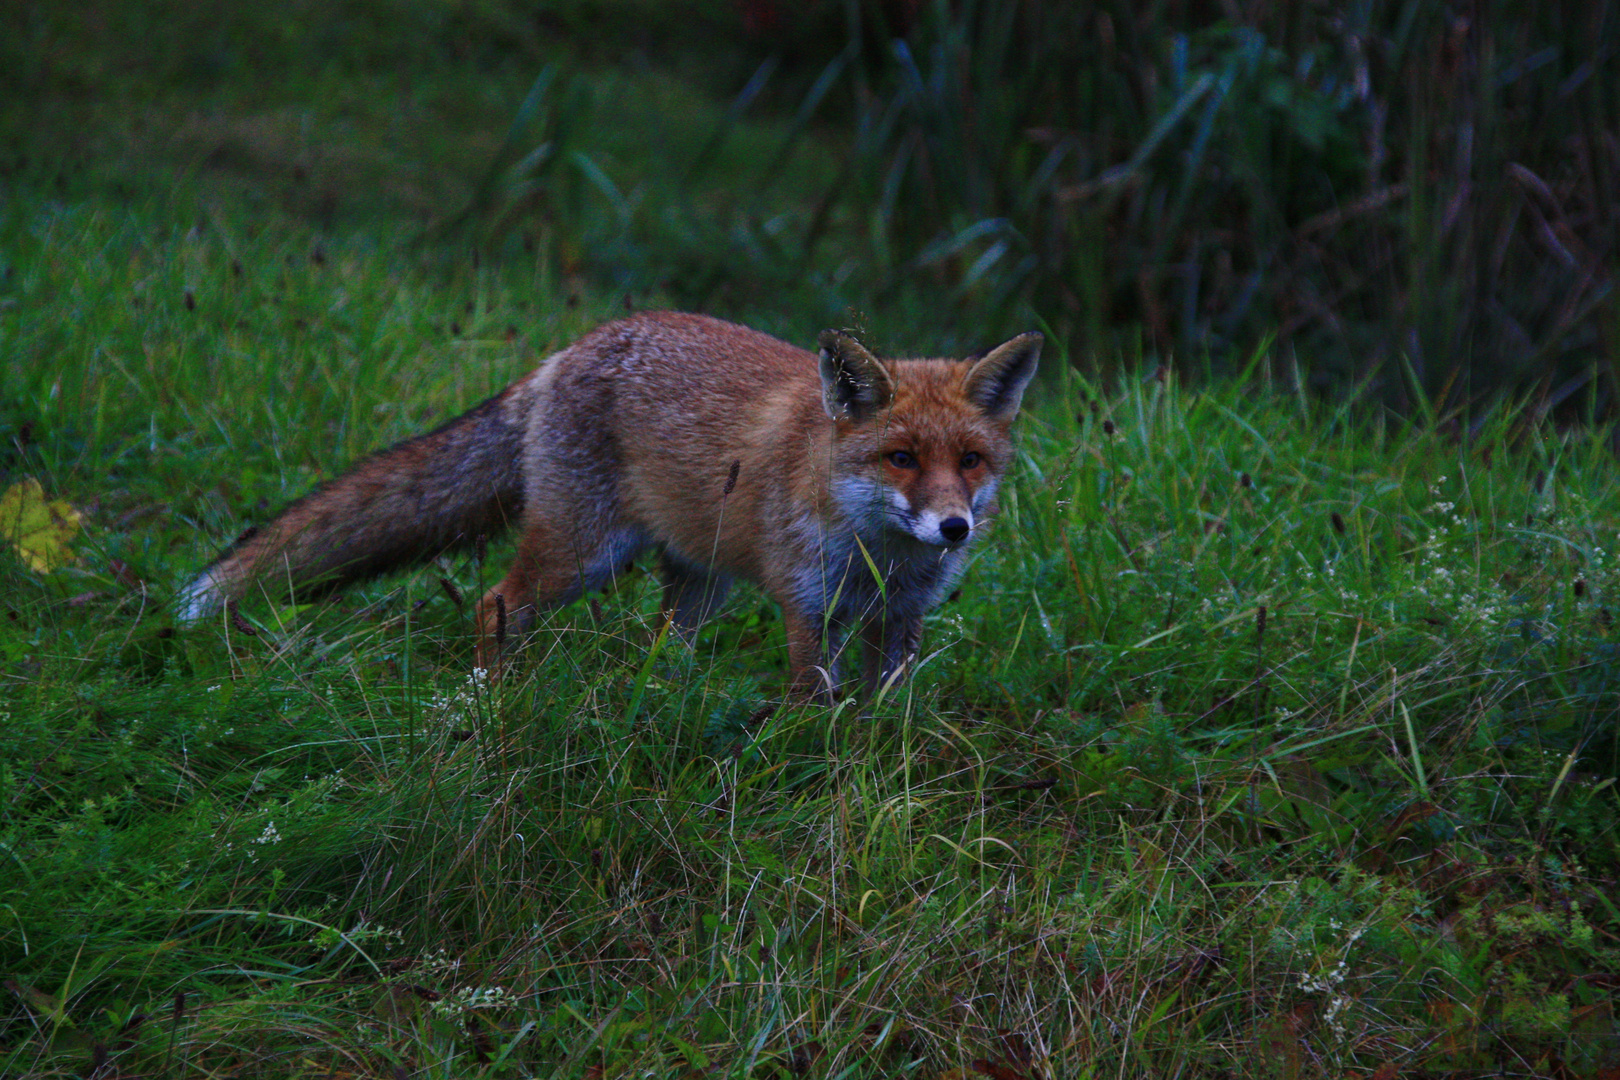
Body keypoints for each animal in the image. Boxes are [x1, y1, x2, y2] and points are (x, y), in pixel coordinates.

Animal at [177, 310, 1036, 702]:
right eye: (901, 459)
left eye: (970, 462)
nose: (953, 526)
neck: (877, 557)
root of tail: (569, 349)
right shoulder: (809, 605)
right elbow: (810, 700)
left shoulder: (900, 621)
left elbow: (884, 712)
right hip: (579, 555)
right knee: (495, 603)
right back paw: (491, 699)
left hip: (700, 582)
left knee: (661, 646)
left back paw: (662, 699)